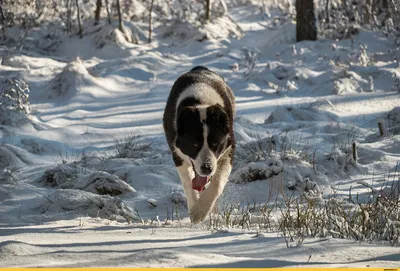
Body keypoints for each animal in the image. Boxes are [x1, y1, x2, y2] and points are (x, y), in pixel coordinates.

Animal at [164, 67, 236, 224]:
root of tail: (199, 68)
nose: (206, 168)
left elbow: (217, 183)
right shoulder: (176, 153)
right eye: (194, 144)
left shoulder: (229, 149)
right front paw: (195, 209)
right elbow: (187, 182)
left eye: (216, 143)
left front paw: (201, 210)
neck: (201, 103)